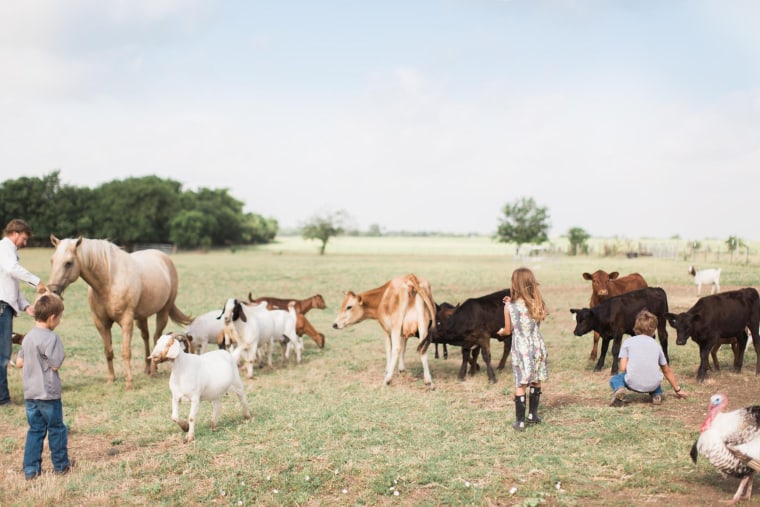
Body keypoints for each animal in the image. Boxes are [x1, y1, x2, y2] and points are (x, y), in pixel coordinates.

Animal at [47, 236, 193, 390]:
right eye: (52, 260)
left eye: (68, 263)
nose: (52, 290)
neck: (110, 281)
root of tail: (164, 257)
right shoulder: (101, 323)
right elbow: (108, 351)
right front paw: (111, 379)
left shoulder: (126, 321)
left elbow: (126, 352)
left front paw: (129, 383)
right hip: (141, 317)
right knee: (146, 337)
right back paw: (147, 369)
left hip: (163, 311)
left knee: (156, 338)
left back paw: (153, 371)